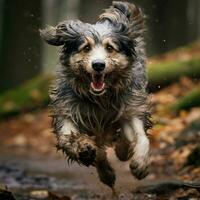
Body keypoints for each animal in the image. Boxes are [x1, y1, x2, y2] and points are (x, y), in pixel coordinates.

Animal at [40, 0, 152, 191]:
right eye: (86, 48)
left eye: (110, 48)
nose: (98, 65)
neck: (100, 98)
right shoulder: (67, 109)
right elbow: (69, 139)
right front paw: (87, 151)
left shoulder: (131, 106)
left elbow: (142, 137)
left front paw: (141, 165)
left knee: (125, 138)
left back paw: (123, 150)